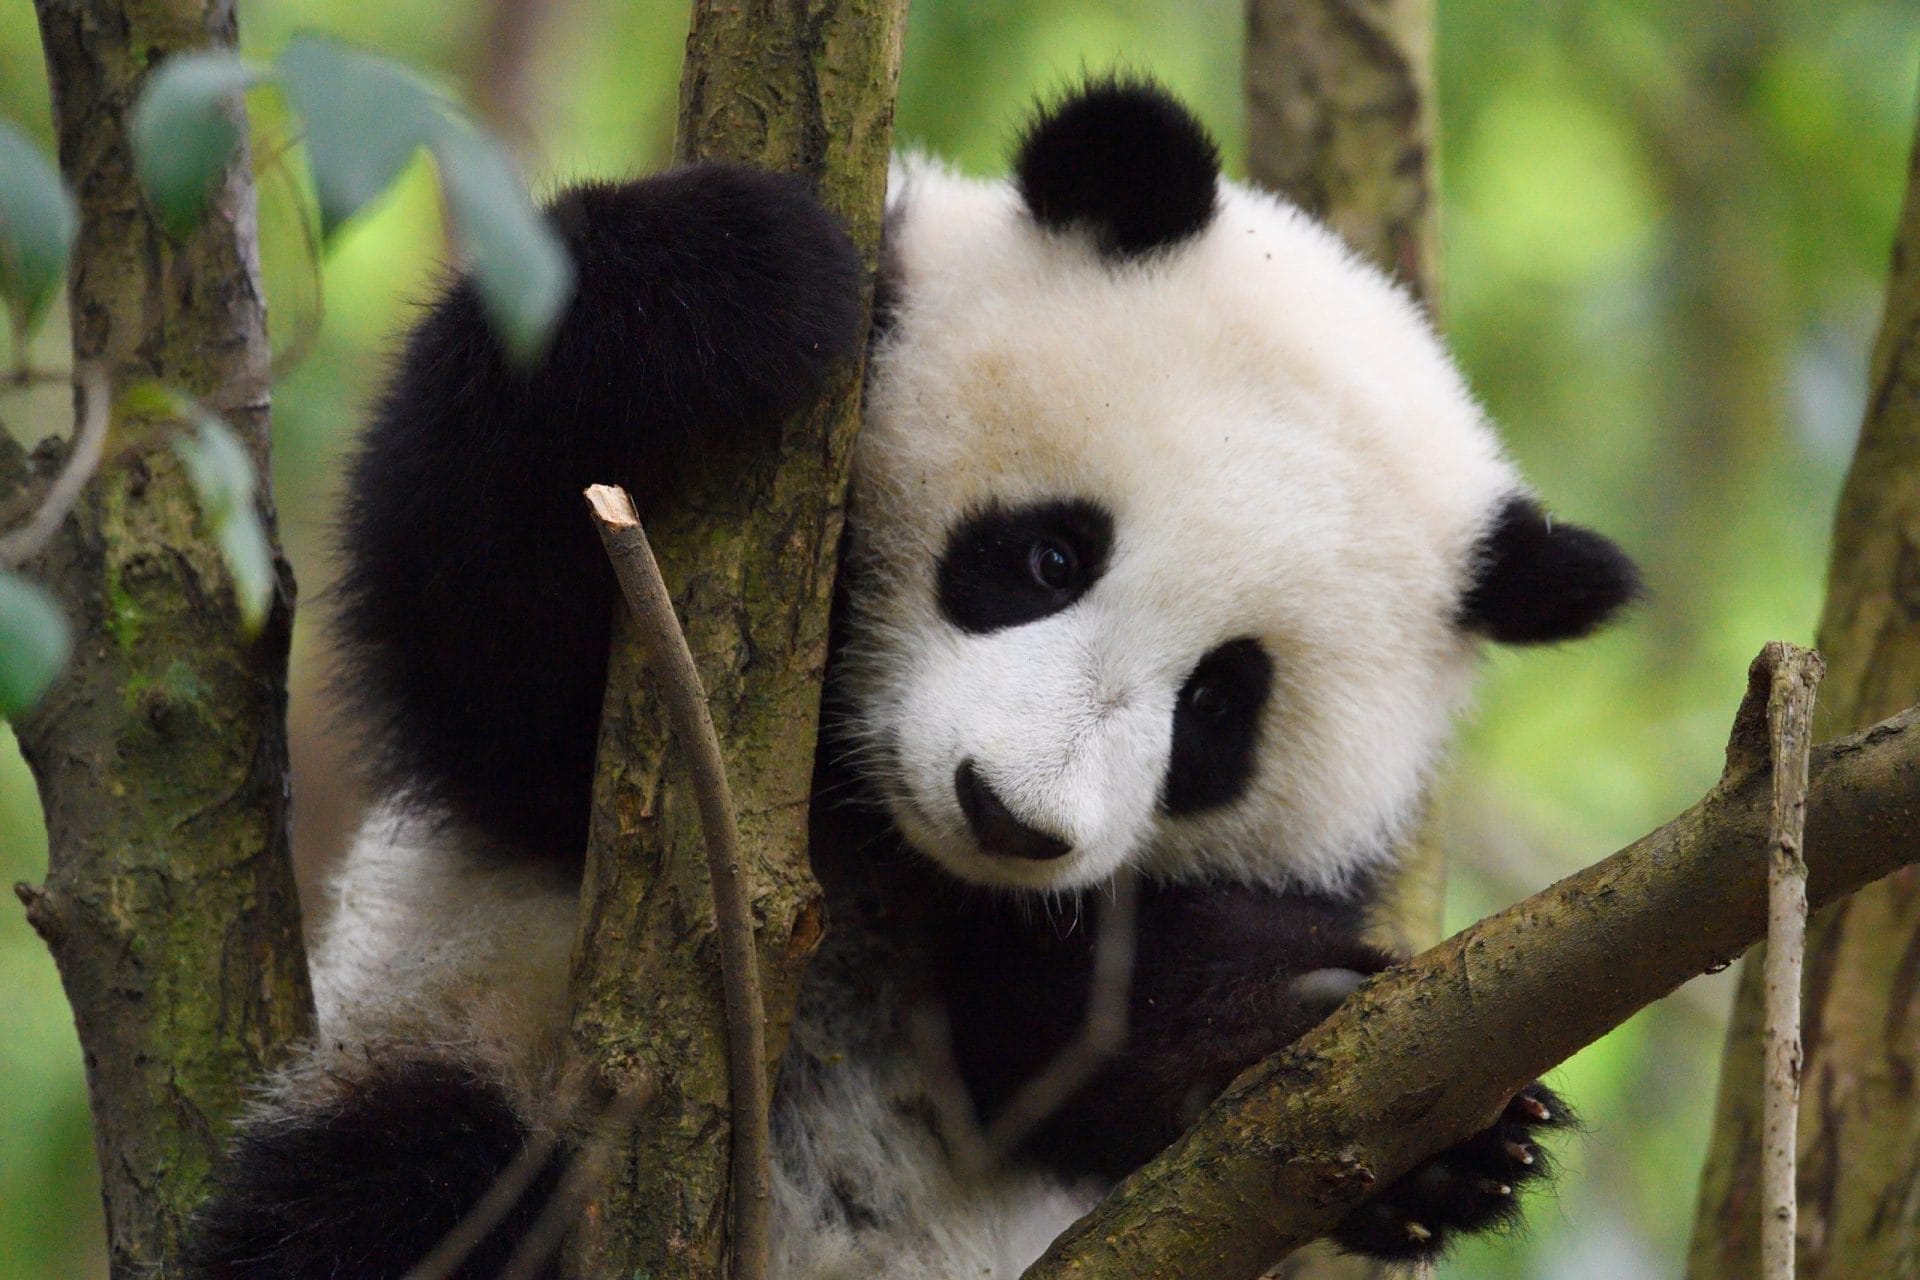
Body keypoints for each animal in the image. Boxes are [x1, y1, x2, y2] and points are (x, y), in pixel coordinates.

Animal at [190, 79, 1639, 1279]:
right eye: (1048, 554)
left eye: (1220, 708)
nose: (1009, 814)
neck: (884, 846)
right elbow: (495, 660)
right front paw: (723, 279)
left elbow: (1060, 1040)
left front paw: (1398, 1106)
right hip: (465, 1043)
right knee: (393, 1198)